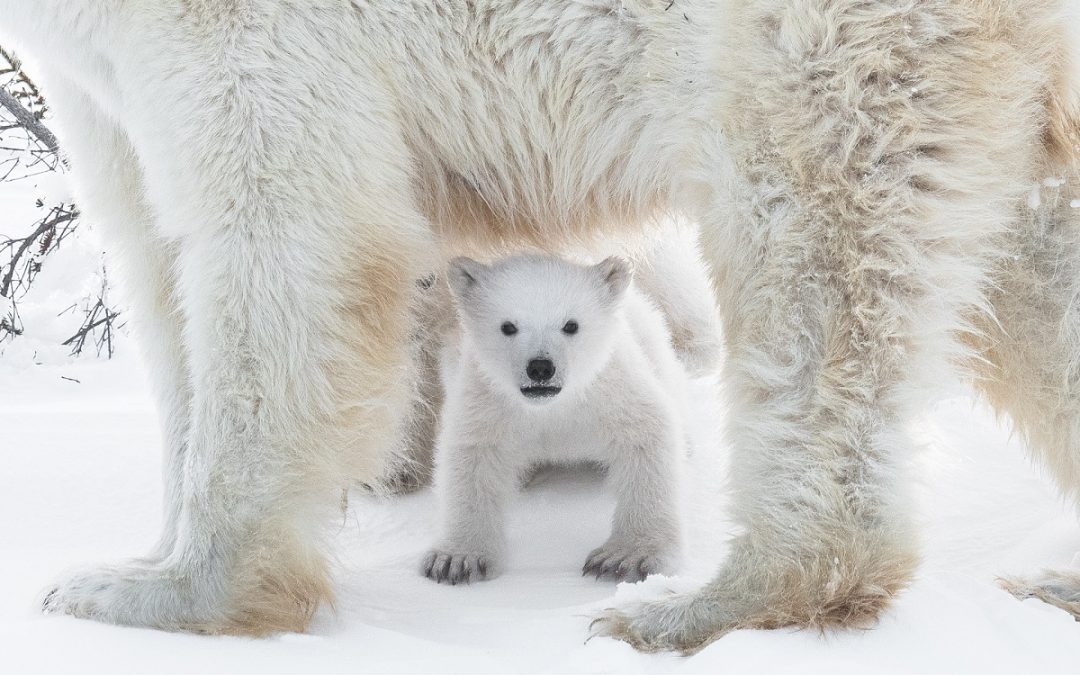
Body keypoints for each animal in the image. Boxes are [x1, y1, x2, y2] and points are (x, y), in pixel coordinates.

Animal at [421, 254, 687, 584]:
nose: (540, 368)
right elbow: (472, 457)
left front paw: (626, 558)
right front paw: (456, 560)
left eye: (571, 325)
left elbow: (646, 436)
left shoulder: (610, 390)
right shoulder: (486, 399)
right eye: (508, 326)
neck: (550, 408)